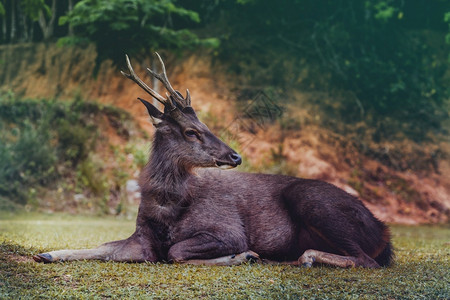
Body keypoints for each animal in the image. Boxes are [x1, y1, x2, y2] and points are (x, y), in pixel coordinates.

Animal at [33, 52, 392, 268]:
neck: (167, 209)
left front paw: (243, 255)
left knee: (366, 259)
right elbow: (102, 246)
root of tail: (382, 231)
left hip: (314, 201)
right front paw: (45, 252)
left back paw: (305, 258)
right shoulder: (142, 239)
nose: (236, 155)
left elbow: (176, 252)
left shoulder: (226, 229)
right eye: (192, 131)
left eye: (206, 125)